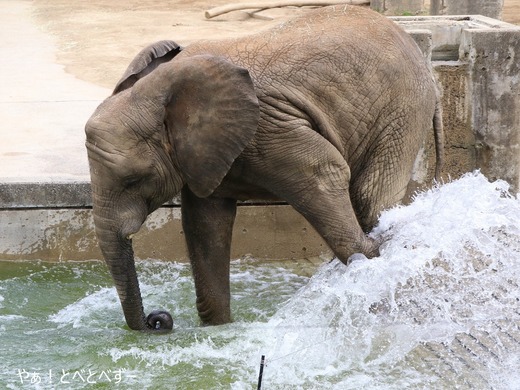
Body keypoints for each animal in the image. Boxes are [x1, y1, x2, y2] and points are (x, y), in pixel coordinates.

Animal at [84, 4, 442, 330]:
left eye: (134, 179)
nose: (159, 319)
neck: (156, 91)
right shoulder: (205, 154)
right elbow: (204, 224)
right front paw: (220, 328)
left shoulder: (270, 125)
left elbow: (325, 171)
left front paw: (370, 254)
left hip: (403, 108)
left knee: (369, 194)